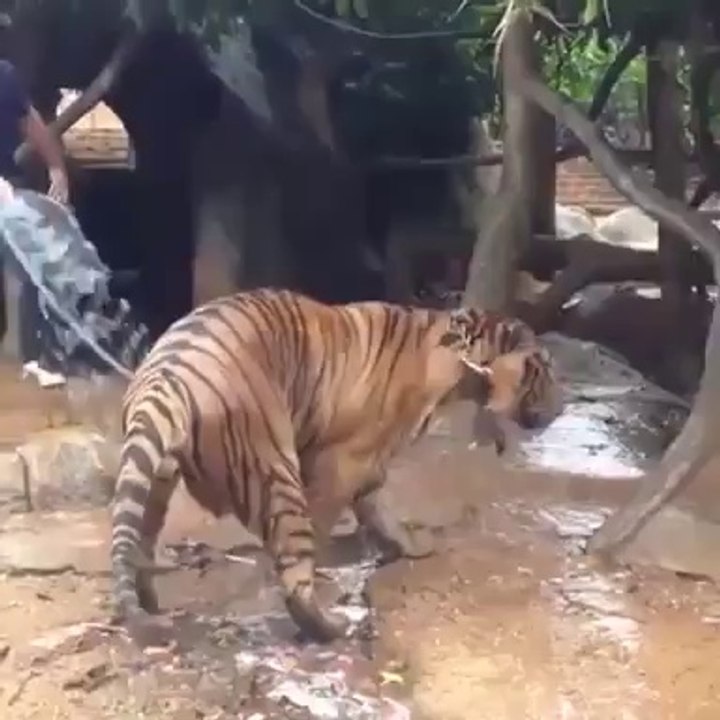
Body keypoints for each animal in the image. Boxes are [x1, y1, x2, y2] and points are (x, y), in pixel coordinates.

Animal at [111, 288, 562, 646]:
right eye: (541, 367)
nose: (562, 406)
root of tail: (165, 376)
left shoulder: (369, 463)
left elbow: (379, 510)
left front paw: (411, 546)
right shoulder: (345, 462)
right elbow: (337, 520)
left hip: (158, 482)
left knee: (140, 544)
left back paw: (151, 606)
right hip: (274, 472)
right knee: (294, 572)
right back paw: (329, 627)